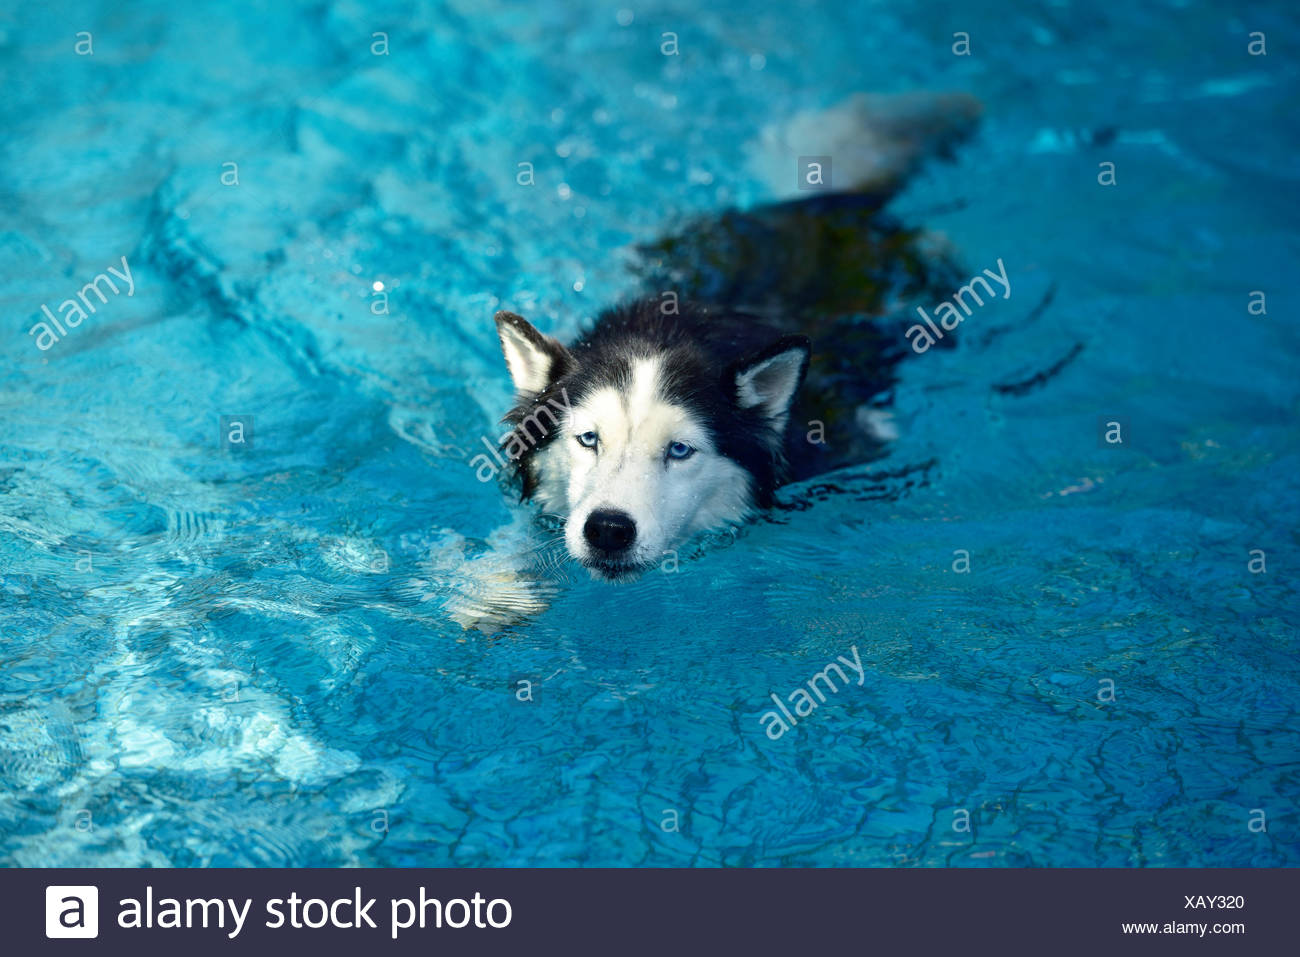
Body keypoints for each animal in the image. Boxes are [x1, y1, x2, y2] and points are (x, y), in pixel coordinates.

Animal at [441, 87, 977, 629]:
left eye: (680, 450)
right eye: (588, 439)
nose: (608, 529)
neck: (671, 329)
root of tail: (837, 200)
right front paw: (499, 586)